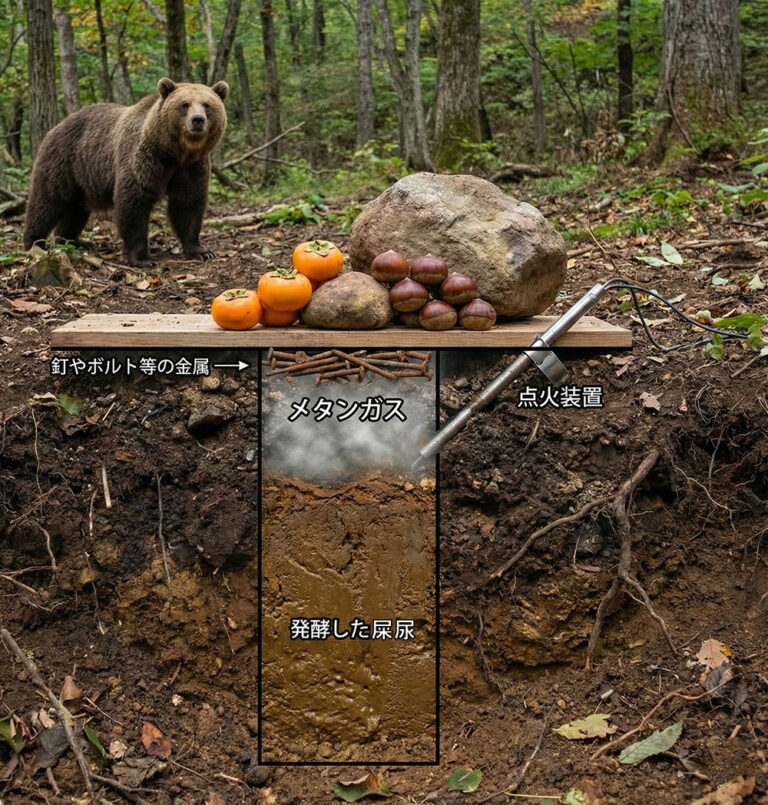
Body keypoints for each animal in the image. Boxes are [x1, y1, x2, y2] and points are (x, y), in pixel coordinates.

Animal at [24, 78, 228, 267]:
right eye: (184, 104)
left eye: (207, 105)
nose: (197, 120)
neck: (175, 153)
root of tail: (56, 127)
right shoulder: (143, 159)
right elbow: (134, 203)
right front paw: (143, 258)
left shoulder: (191, 167)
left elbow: (188, 204)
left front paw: (201, 251)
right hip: (63, 161)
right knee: (46, 202)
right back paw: (34, 243)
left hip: (83, 180)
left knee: (76, 211)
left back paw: (73, 241)